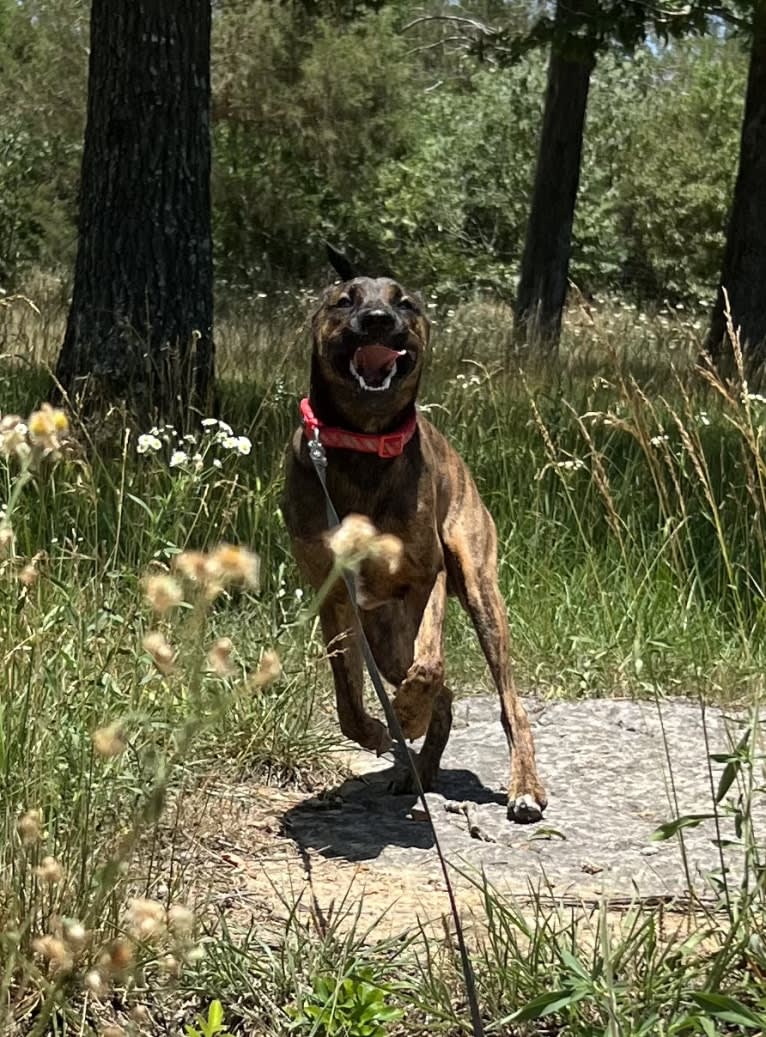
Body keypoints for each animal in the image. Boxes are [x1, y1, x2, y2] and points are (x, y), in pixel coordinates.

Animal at [284, 246, 547, 821]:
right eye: (345, 300)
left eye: (405, 302)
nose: (379, 320)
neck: (363, 442)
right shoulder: (336, 598)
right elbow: (348, 701)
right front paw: (379, 729)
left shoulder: (428, 578)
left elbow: (429, 668)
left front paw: (405, 713)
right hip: (384, 634)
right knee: (442, 699)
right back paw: (419, 769)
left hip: (479, 591)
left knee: (507, 702)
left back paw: (524, 787)